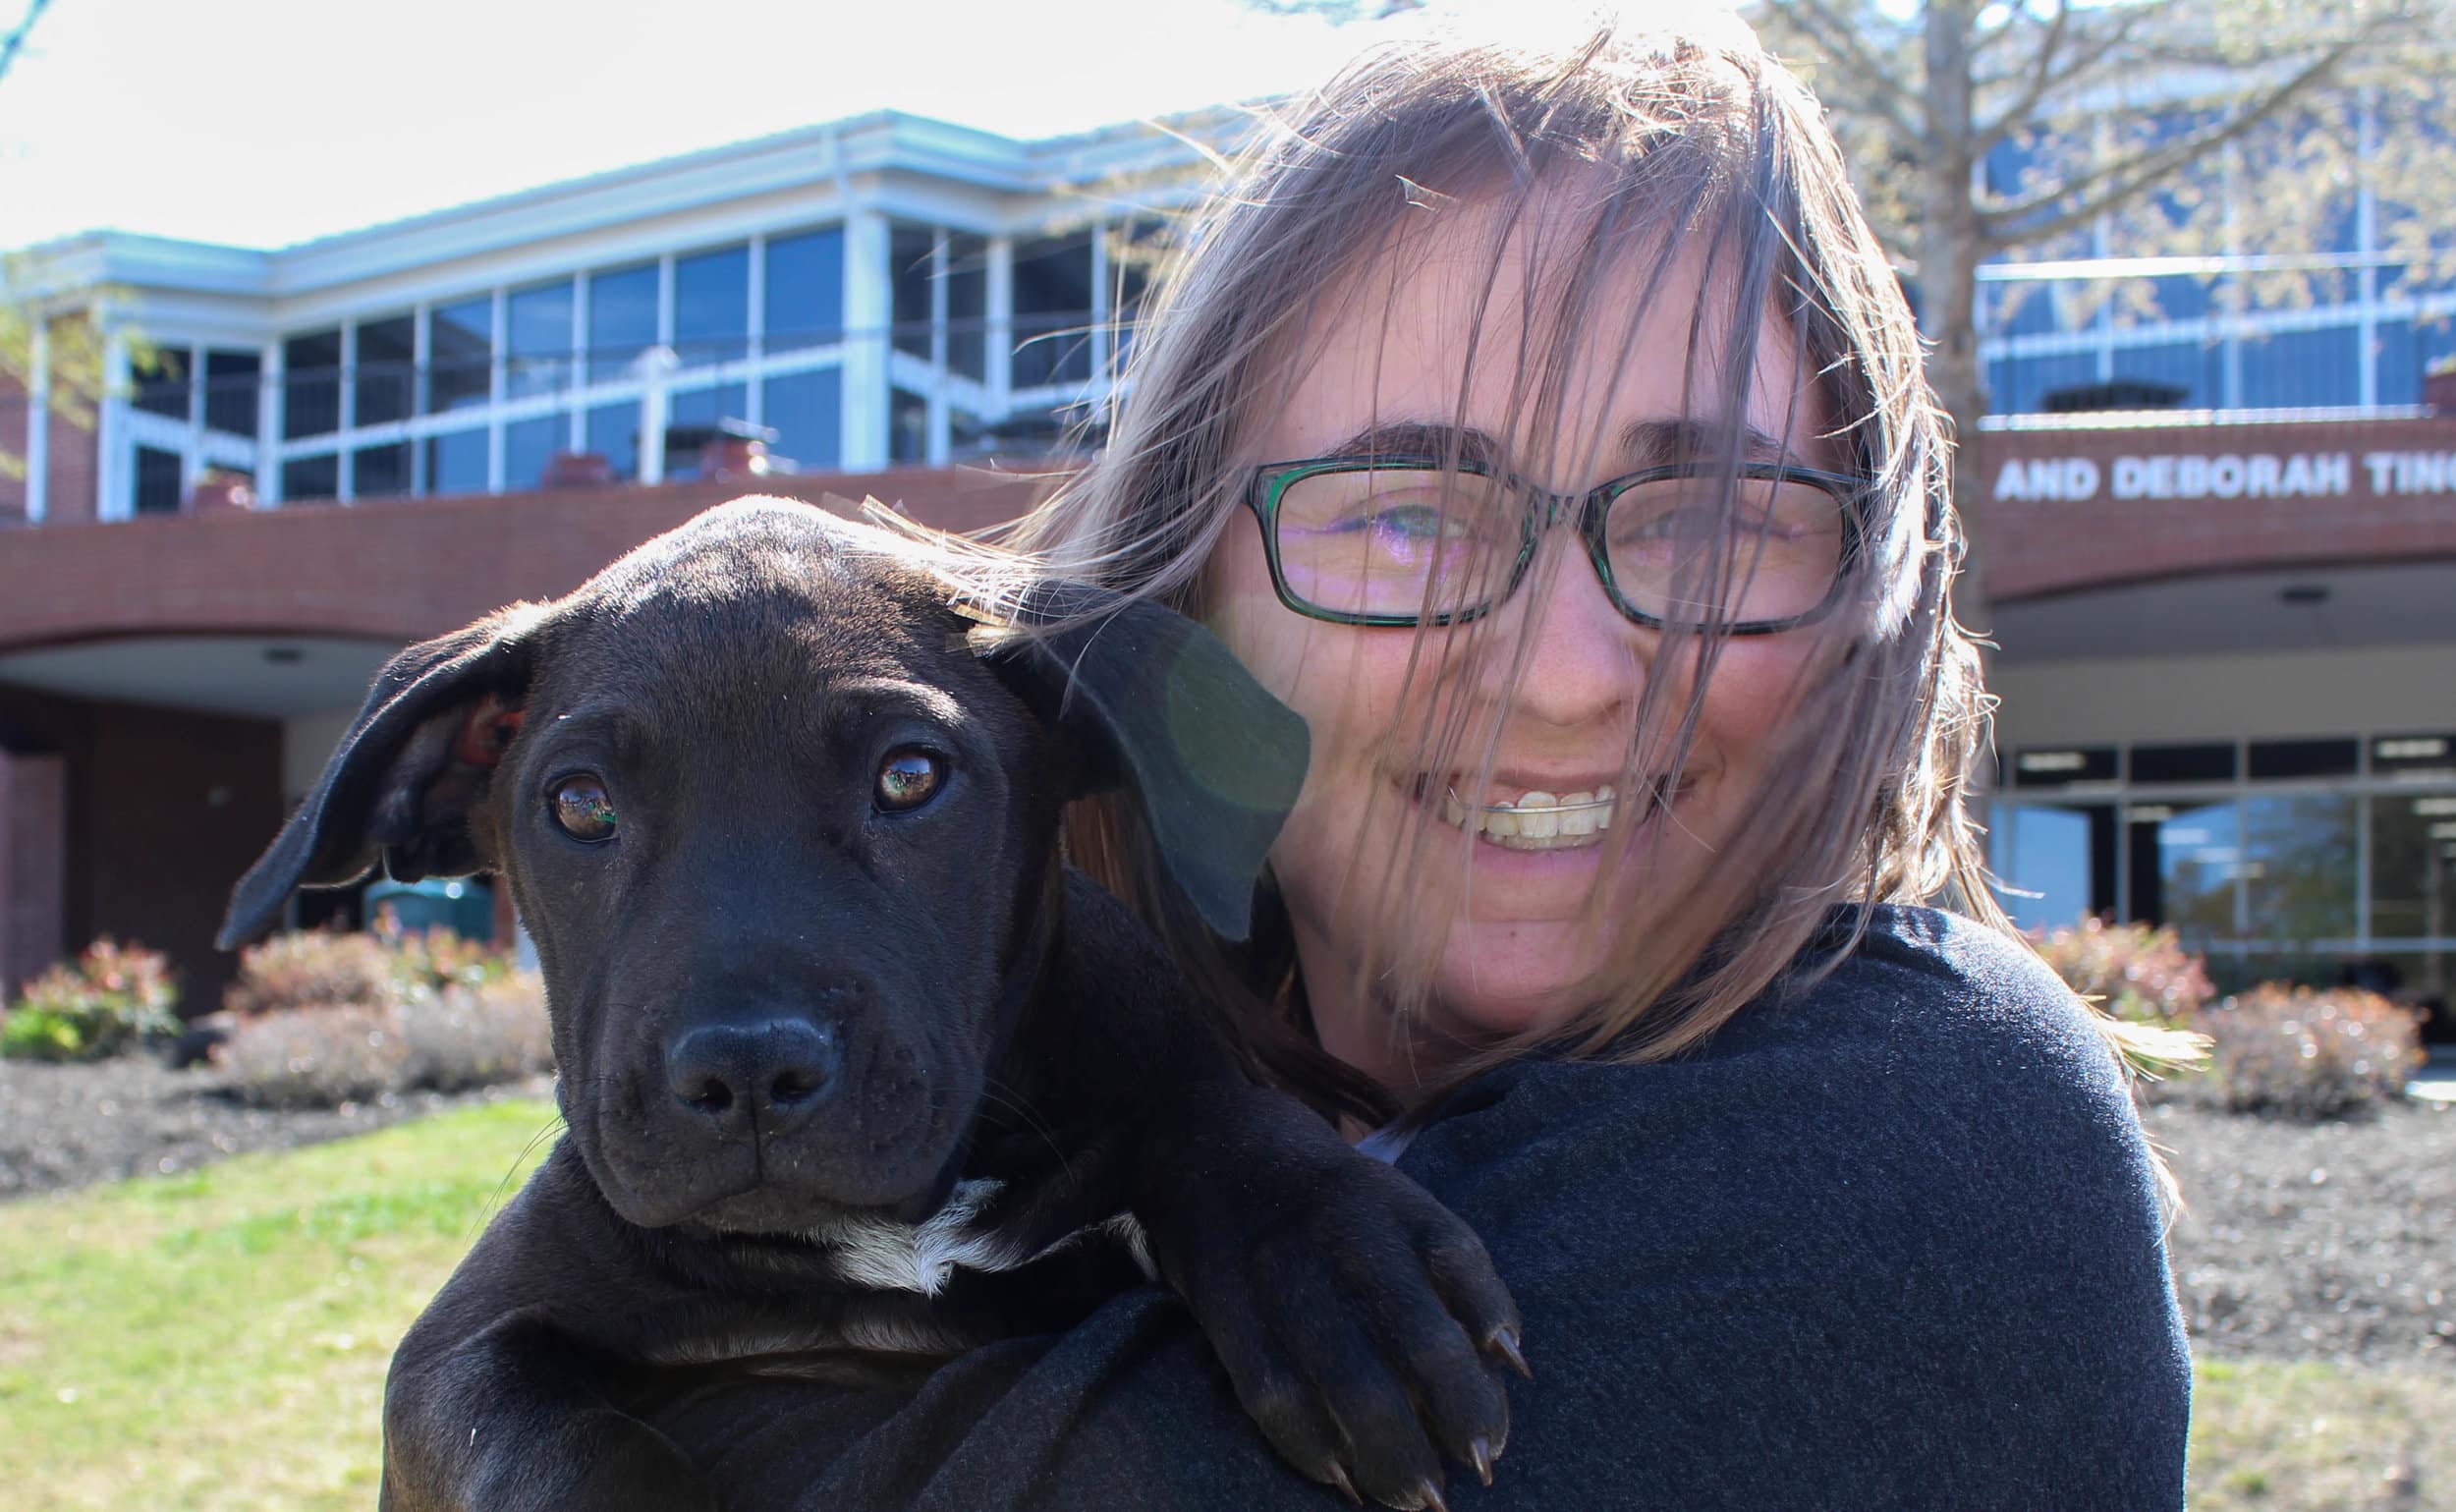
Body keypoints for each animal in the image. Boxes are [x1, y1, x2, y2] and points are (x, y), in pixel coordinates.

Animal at [216, 498, 1513, 1512]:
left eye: (909, 777)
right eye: (579, 805)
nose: (744, 1073)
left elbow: (1214, 1114)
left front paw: (1338, 1276)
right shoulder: (458, 1351)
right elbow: (559, 1444)